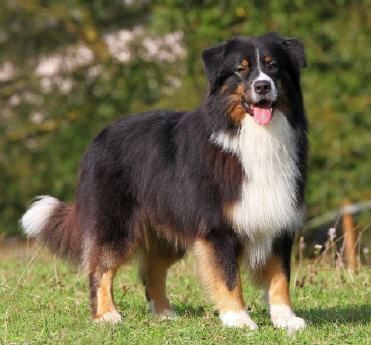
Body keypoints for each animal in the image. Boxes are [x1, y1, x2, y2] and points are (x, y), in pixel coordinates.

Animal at [21, 32, 310, 330]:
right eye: (240, 69)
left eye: (273, 66)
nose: (262, 86)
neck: (253, 137)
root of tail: (98, 138)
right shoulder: (218, 227)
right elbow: (229, 277)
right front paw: (238, 319)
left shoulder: (278, 219)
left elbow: (280, 276)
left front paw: (286, 319)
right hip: (116, 224)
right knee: (100, 267)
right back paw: (107, 315)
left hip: (167, 228)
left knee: (151, 269)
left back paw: (163, 313)